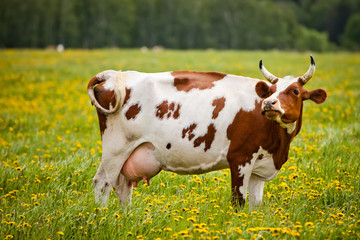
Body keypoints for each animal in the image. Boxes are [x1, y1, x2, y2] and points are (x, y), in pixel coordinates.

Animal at [87, 55, 326, 209]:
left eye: (295, 91)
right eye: (271, 91)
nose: (268, 103)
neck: (278, 144)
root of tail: (115, 76)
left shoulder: (260, 167)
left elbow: (255, 205)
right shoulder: (240, 159)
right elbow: (238, 202)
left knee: (122, 187)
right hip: (116, 148)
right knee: (103, 183)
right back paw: (103, 217)